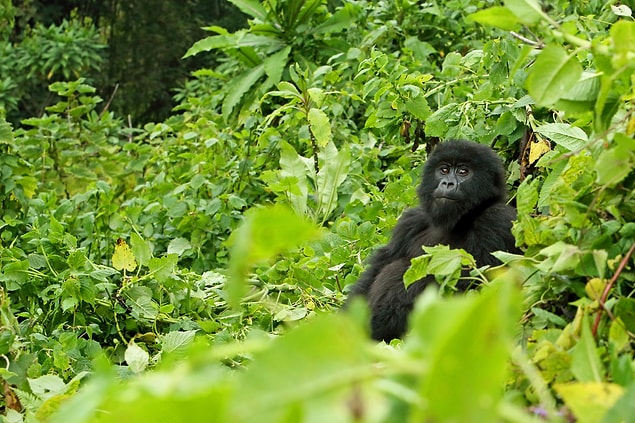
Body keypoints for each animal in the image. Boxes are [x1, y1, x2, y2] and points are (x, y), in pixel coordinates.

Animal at [348, 141, 520, 342]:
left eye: (463, 172)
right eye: (443, 170)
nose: (447, 183)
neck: (461, 219)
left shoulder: (498, 220)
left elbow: (474, 287)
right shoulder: (410, 221)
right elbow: (374, 272)